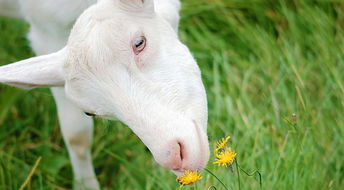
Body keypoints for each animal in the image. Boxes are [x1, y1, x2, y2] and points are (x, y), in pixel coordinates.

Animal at [0, 0, 210, 189]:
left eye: (139, 43)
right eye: (89, 112)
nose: (174, 158)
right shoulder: (46, 31)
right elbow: (77, 136)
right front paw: (86, 185)